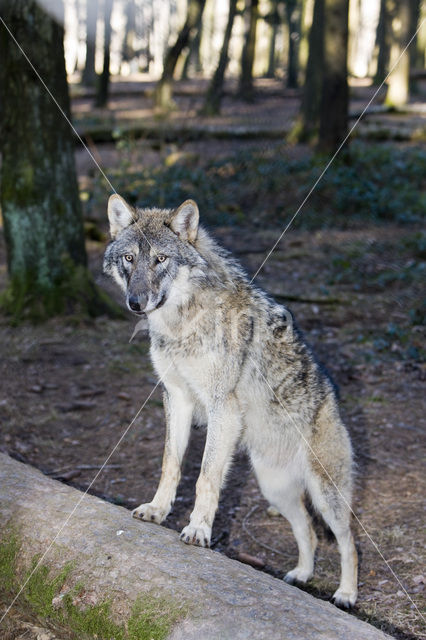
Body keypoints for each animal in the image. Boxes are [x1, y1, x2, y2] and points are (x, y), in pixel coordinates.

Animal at [104, 195, 360, 604]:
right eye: (129, 258)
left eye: (161, 259)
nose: (136, 302)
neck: (181, 321)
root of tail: (333, 399)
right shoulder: (177, 398)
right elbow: (171, 464)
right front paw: (158, 510)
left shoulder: (221, 408)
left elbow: (205, 477)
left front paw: (197, 531)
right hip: (274, 490)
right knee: (307, 530)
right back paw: (301, 574)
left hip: (326, 495)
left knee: (348, 541)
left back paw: (347, 594)